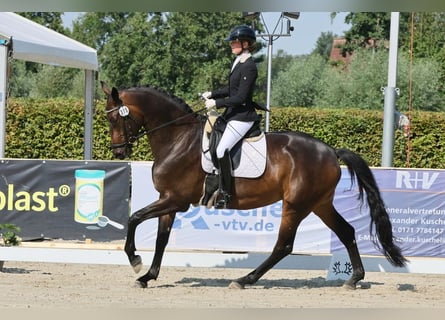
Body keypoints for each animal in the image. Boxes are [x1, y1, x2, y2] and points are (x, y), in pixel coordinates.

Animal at [100, 82, 406, 290]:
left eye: (115, 118)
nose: (118, 152)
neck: (178, 138)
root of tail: (331, 151)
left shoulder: (175, 199)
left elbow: (134, 217)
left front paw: (135, 260)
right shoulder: (169, 199)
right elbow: (161, 239)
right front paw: (147, 276)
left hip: (296, 205)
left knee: (284, 245)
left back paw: (245, 279)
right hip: (319, 204)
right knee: (346, 231)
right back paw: (354, 278)